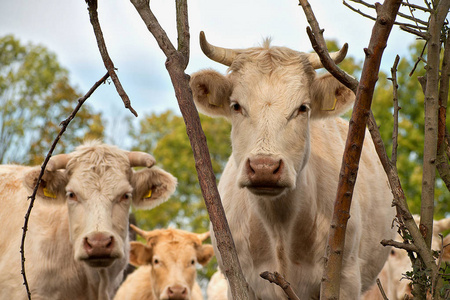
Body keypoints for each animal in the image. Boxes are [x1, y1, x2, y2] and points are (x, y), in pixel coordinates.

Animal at [189, 31, 394, 298]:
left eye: (303, 108)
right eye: (236, 106)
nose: (264, 168)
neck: (279, 225)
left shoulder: (346, 277)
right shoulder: (237, 281)